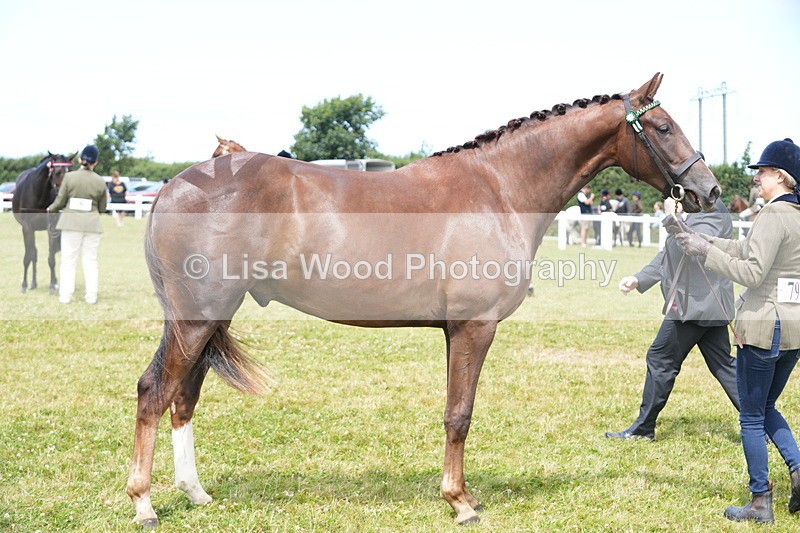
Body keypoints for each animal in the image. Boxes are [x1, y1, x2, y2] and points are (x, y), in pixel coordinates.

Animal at [11, 152, 76, 293]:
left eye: (71, 171)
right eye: (57, 172)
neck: (38, 194)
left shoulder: (51, 227)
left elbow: (51, 258)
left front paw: (52, 285)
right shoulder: (27, 228)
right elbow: (28, 256)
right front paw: (24, 285)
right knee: (33, 254)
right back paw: (33, 283)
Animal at [127, 73, 721, 527]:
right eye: (663, 127)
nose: (709, 190)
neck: (499, 189)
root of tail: (174, 186)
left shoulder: (452, 331)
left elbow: (455, 411)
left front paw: (463, 494)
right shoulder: (474, 327)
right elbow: (460, 414)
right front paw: (460, 503)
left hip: (209, 318)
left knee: (183, 397)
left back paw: (195, 494)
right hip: (196, 318)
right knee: (155, 392)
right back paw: (145, 505)